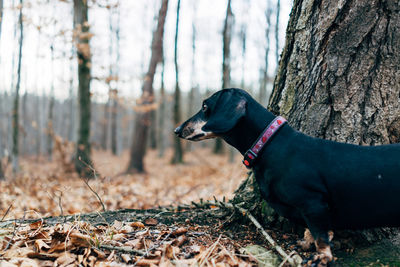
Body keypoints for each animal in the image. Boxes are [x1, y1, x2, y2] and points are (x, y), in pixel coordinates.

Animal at [175, 88, 400, 266]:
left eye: (205, 106)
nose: (176, 130)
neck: (270, 144)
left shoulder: (313, 202)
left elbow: (320, 235)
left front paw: (322, 257)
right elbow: (312, 231)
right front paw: (306, 243)